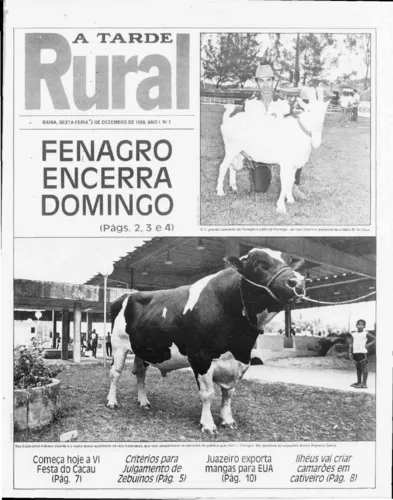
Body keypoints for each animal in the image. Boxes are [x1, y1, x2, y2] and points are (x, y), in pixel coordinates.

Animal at [108, 247, 306, 434]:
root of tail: (128, 294)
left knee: (140, 374)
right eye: (259, 264)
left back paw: (144, 402)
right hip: (118, 346)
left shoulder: (239, 361)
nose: (298, 282)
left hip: (142, 350)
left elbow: (229, 394)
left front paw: (228, 420)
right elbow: (208, 394)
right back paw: (112, 401)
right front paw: (208, 425)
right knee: (115, 373)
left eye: (289, 262)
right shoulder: (200, 358)